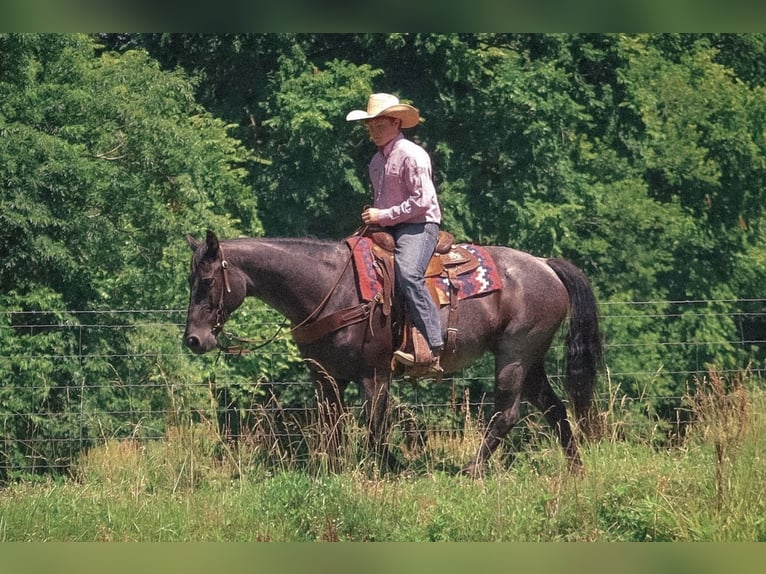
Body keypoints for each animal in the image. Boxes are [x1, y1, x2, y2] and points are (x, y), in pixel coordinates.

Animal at [183, 230, 604, 476]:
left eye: (206, 280)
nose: (194, 340)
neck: (331, 288)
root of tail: (546, 265)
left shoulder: (375, 373)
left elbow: (374, 423)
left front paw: (382, 469)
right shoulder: (325, 376)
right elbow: (331, 427)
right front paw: (332, 473)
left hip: (514, 355)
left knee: (508, 414)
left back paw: (471, 470)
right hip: (532, 361)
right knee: (556, 409)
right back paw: (575, 471)